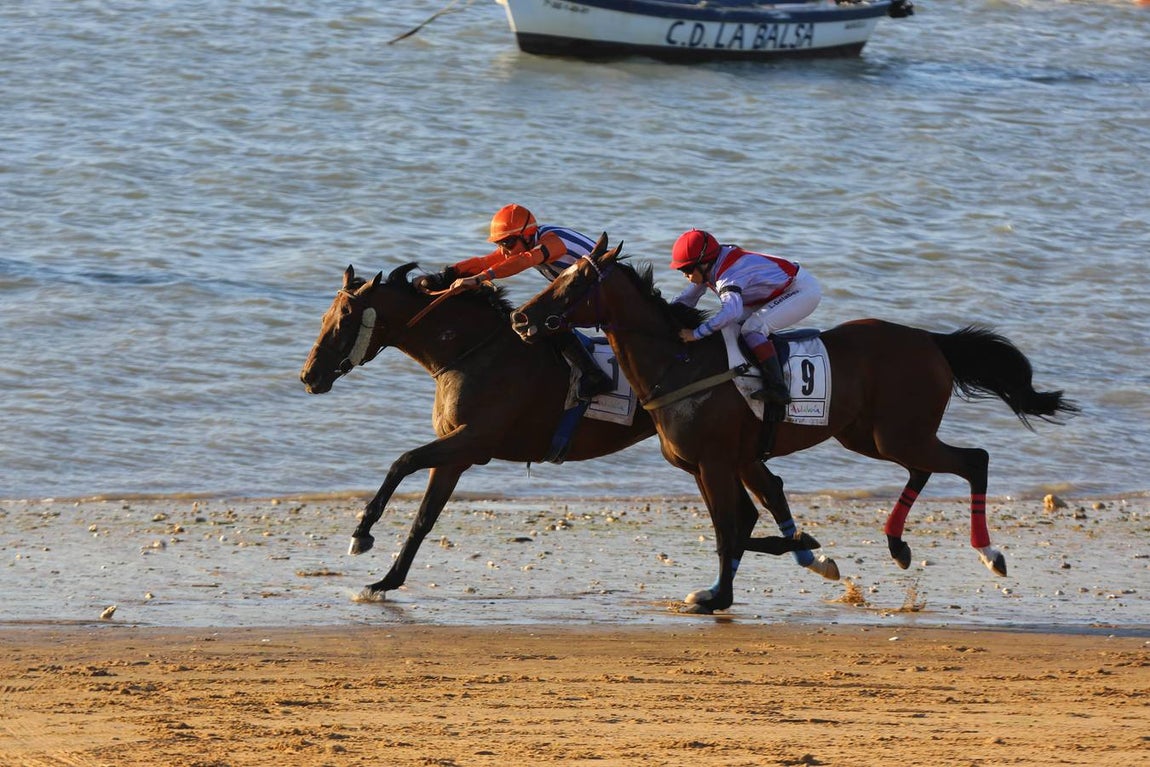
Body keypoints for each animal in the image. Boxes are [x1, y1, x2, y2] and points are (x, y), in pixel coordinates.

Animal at [299, 264, 827, 600]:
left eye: (342, 319)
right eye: (324, 316)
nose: (310, 376)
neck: (474, 350)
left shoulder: (472, 440)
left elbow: (402, 461)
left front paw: (361, 534)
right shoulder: (456, 453)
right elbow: (423, 518)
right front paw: (386, 580)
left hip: (717, 449)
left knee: (759, 498)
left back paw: (803, 553)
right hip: (725, 450)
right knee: (760, 498)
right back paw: (802, 551)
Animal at [511, 236, 1079, 614]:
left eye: (574, 281)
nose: (521, 319)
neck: (679, 363)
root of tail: (931, 341)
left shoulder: (717, 461)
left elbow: (732, 528)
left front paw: (734, 585)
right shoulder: (707, 466)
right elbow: (737, 524)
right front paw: (738, 581)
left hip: (896, 433)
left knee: (973, 460)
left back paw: (990, 553)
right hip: (872, 435)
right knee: (924, 469)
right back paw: (897, 545)